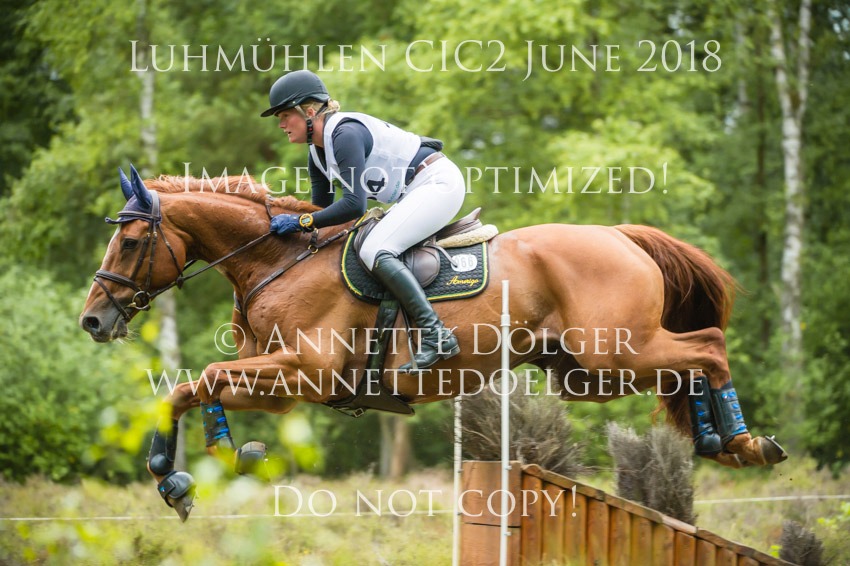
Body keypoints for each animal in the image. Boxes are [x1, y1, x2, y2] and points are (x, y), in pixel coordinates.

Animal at [79, 166, 786, 521]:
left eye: (132, 242)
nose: (93, 321)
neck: (279, 260)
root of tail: (621, 235)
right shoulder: (283, 385)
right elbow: (187, 388)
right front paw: (194, 469)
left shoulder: (304, 372)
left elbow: (197, 380)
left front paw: (209, 464)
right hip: (589, 374)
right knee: (689, 363)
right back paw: (721, 442)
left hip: (614, 352)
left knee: (709, 346)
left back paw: (744, 442)